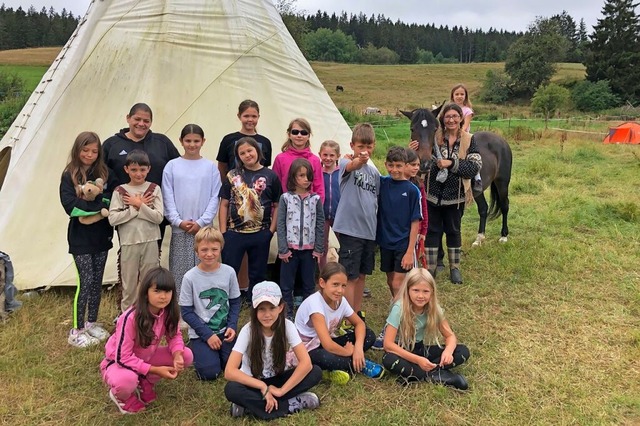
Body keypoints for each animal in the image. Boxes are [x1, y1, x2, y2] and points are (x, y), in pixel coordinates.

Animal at [402, 106, 512, 245]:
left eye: (434, 129)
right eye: (412, 129)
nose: (425, 163)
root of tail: (501, 141)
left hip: (502, 183)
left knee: (504, 205)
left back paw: (504, 236)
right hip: (477, 191)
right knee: (483, 208)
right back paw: (479, 238)